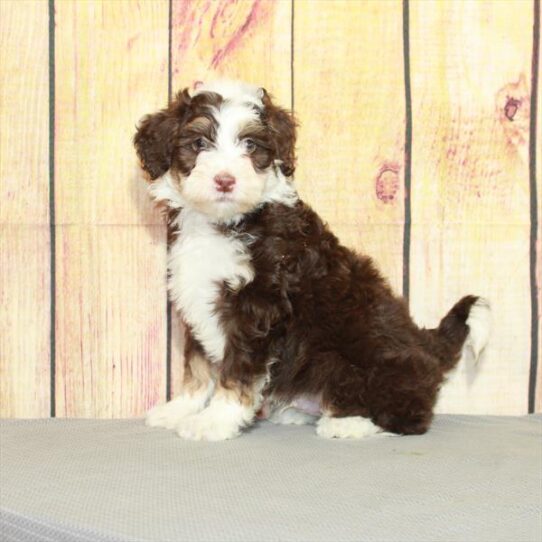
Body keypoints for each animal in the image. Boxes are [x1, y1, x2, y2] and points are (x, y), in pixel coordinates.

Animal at [135, 81, 492, 442]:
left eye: (250, 144)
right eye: (198, 144)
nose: (225, 180)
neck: (227, 221)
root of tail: (425, 343)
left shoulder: (258, 306)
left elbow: (238, 370)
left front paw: (215, 420)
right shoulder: (197, 298)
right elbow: (197, 367)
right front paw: (179, 409)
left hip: (355, 358)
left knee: (408, 417)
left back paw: (348, 423)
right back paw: (297, 412)